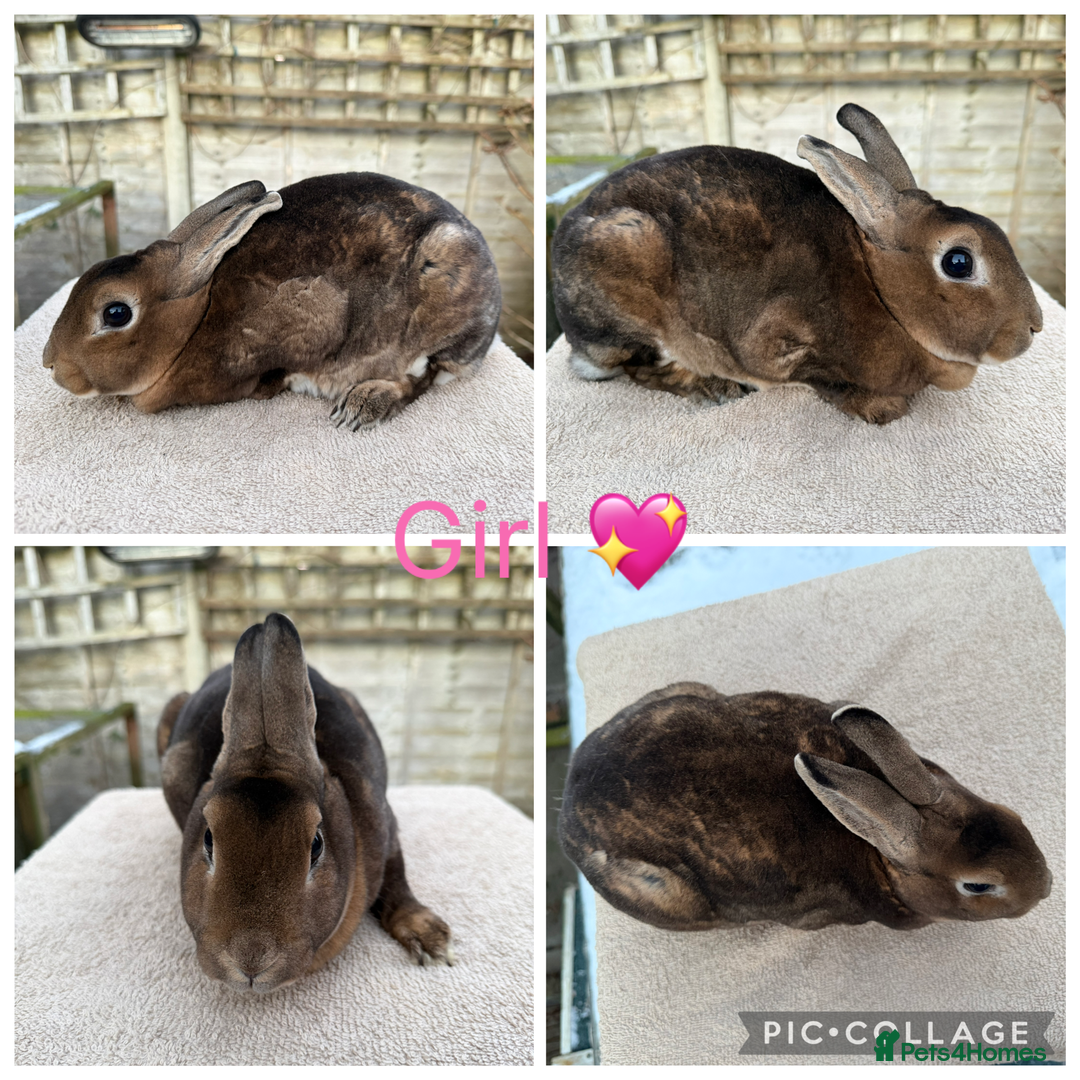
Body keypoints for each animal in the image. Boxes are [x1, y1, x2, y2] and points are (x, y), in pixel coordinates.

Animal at [43, 172, 501, 429]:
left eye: (116, 313)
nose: (50, 363)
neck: (195, 319)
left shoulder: (313, 312)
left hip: (436, 310)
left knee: (420, 376)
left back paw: (362, 405)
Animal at [156, 612, 453, 992]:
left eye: (316, 845)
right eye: (208, 839)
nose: (250, 963)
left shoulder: (387, 829)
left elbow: (397, 880)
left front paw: (431, 940)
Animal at [550, 104, 1043, 425]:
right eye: (959, 262)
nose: (1034, 326)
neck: (880, 290)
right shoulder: (776, 342)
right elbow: (825, 381)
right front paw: (881, 408)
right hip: (633, 270)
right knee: (640, 367)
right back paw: (716, 390)